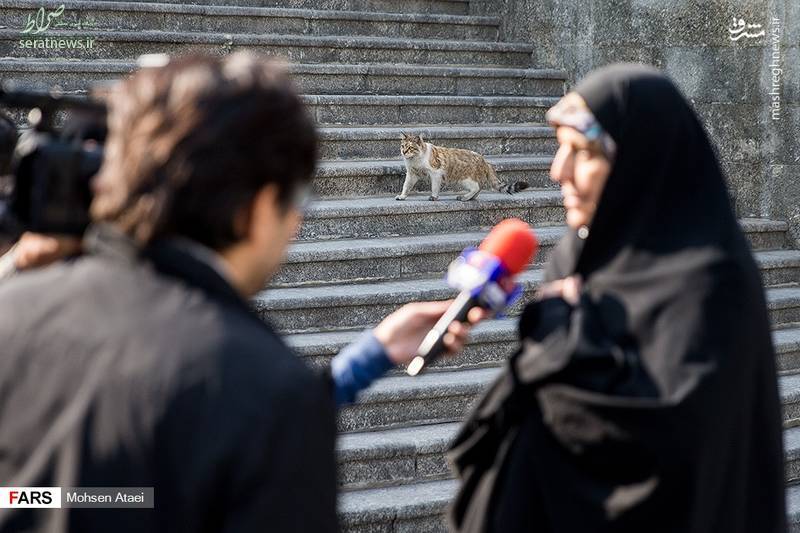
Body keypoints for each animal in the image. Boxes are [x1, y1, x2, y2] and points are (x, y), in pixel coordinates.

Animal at [396, 132, 532, 201]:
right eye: (403, 146)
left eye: (410, 148)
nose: (403, 152)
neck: (415, 160)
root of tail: (484, 161)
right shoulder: (412, 174)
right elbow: (406, 186)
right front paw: (402, 196)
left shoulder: (435, 173)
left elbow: (434, 187)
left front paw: (434, 196)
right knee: (479, 188)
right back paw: (470, 198)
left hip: (465, 179)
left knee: (476, 187)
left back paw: (464, 197)